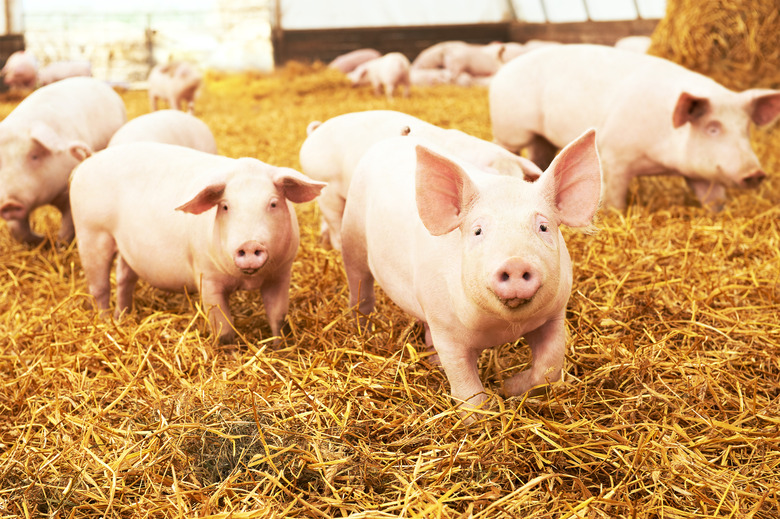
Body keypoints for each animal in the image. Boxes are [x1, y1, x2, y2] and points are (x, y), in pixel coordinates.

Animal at [0, 76, 126, 246]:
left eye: (34, 156)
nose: (9, 203)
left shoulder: (68, 193)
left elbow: (66, 227)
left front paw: (59, 245)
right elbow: (18, 230)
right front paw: (41, 238)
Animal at [67, 143, 322, 346]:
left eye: (273, 203)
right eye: (225, 206)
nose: (249, 244)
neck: (248, 280)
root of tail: (88, 161)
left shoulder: (281, 273)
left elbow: (278, 317)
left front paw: (281, 348)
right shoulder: (206, 276)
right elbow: (223, 328)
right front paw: (230, 354)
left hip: (126, 247)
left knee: (123, 278)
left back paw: (122, 318)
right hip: (91, 233)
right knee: (99, 287)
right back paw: (105, 322)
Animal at [338, 131, 600, 422]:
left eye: (543, 227)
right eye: (477, 231)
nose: (515, 262)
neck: (503, 328)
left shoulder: (555, 315)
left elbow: (549, 368)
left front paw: (508, 387)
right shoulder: (447, 331)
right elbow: (466, 387)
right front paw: (478, 416)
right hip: (352, 238)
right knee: (360, 289)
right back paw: (363, 331)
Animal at [490, 44, 780, 210]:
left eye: (746, 128)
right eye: (712, 128)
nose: (755, 173)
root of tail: (505, 67)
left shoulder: (700, 173)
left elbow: (713, 198)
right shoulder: (614, 155)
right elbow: (615, 198)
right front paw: (613, 213)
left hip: (542, 137)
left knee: (540, 155)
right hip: (509, 130)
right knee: (504, 147)